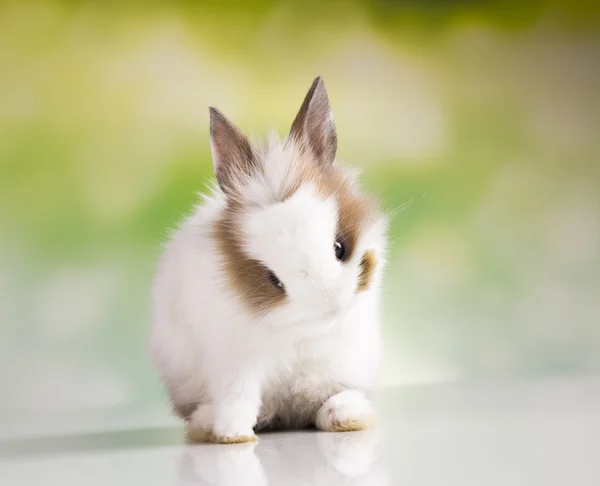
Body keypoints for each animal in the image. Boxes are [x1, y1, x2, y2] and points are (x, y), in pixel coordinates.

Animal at [150, 77, 390, 444]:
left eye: (340, 247)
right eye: (273, 280)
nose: (331, 308)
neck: (299, 332)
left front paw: (345, 416)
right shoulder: (234, 357)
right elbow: (238, 395)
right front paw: (233, 435)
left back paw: (344, 415)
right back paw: (207, 424)